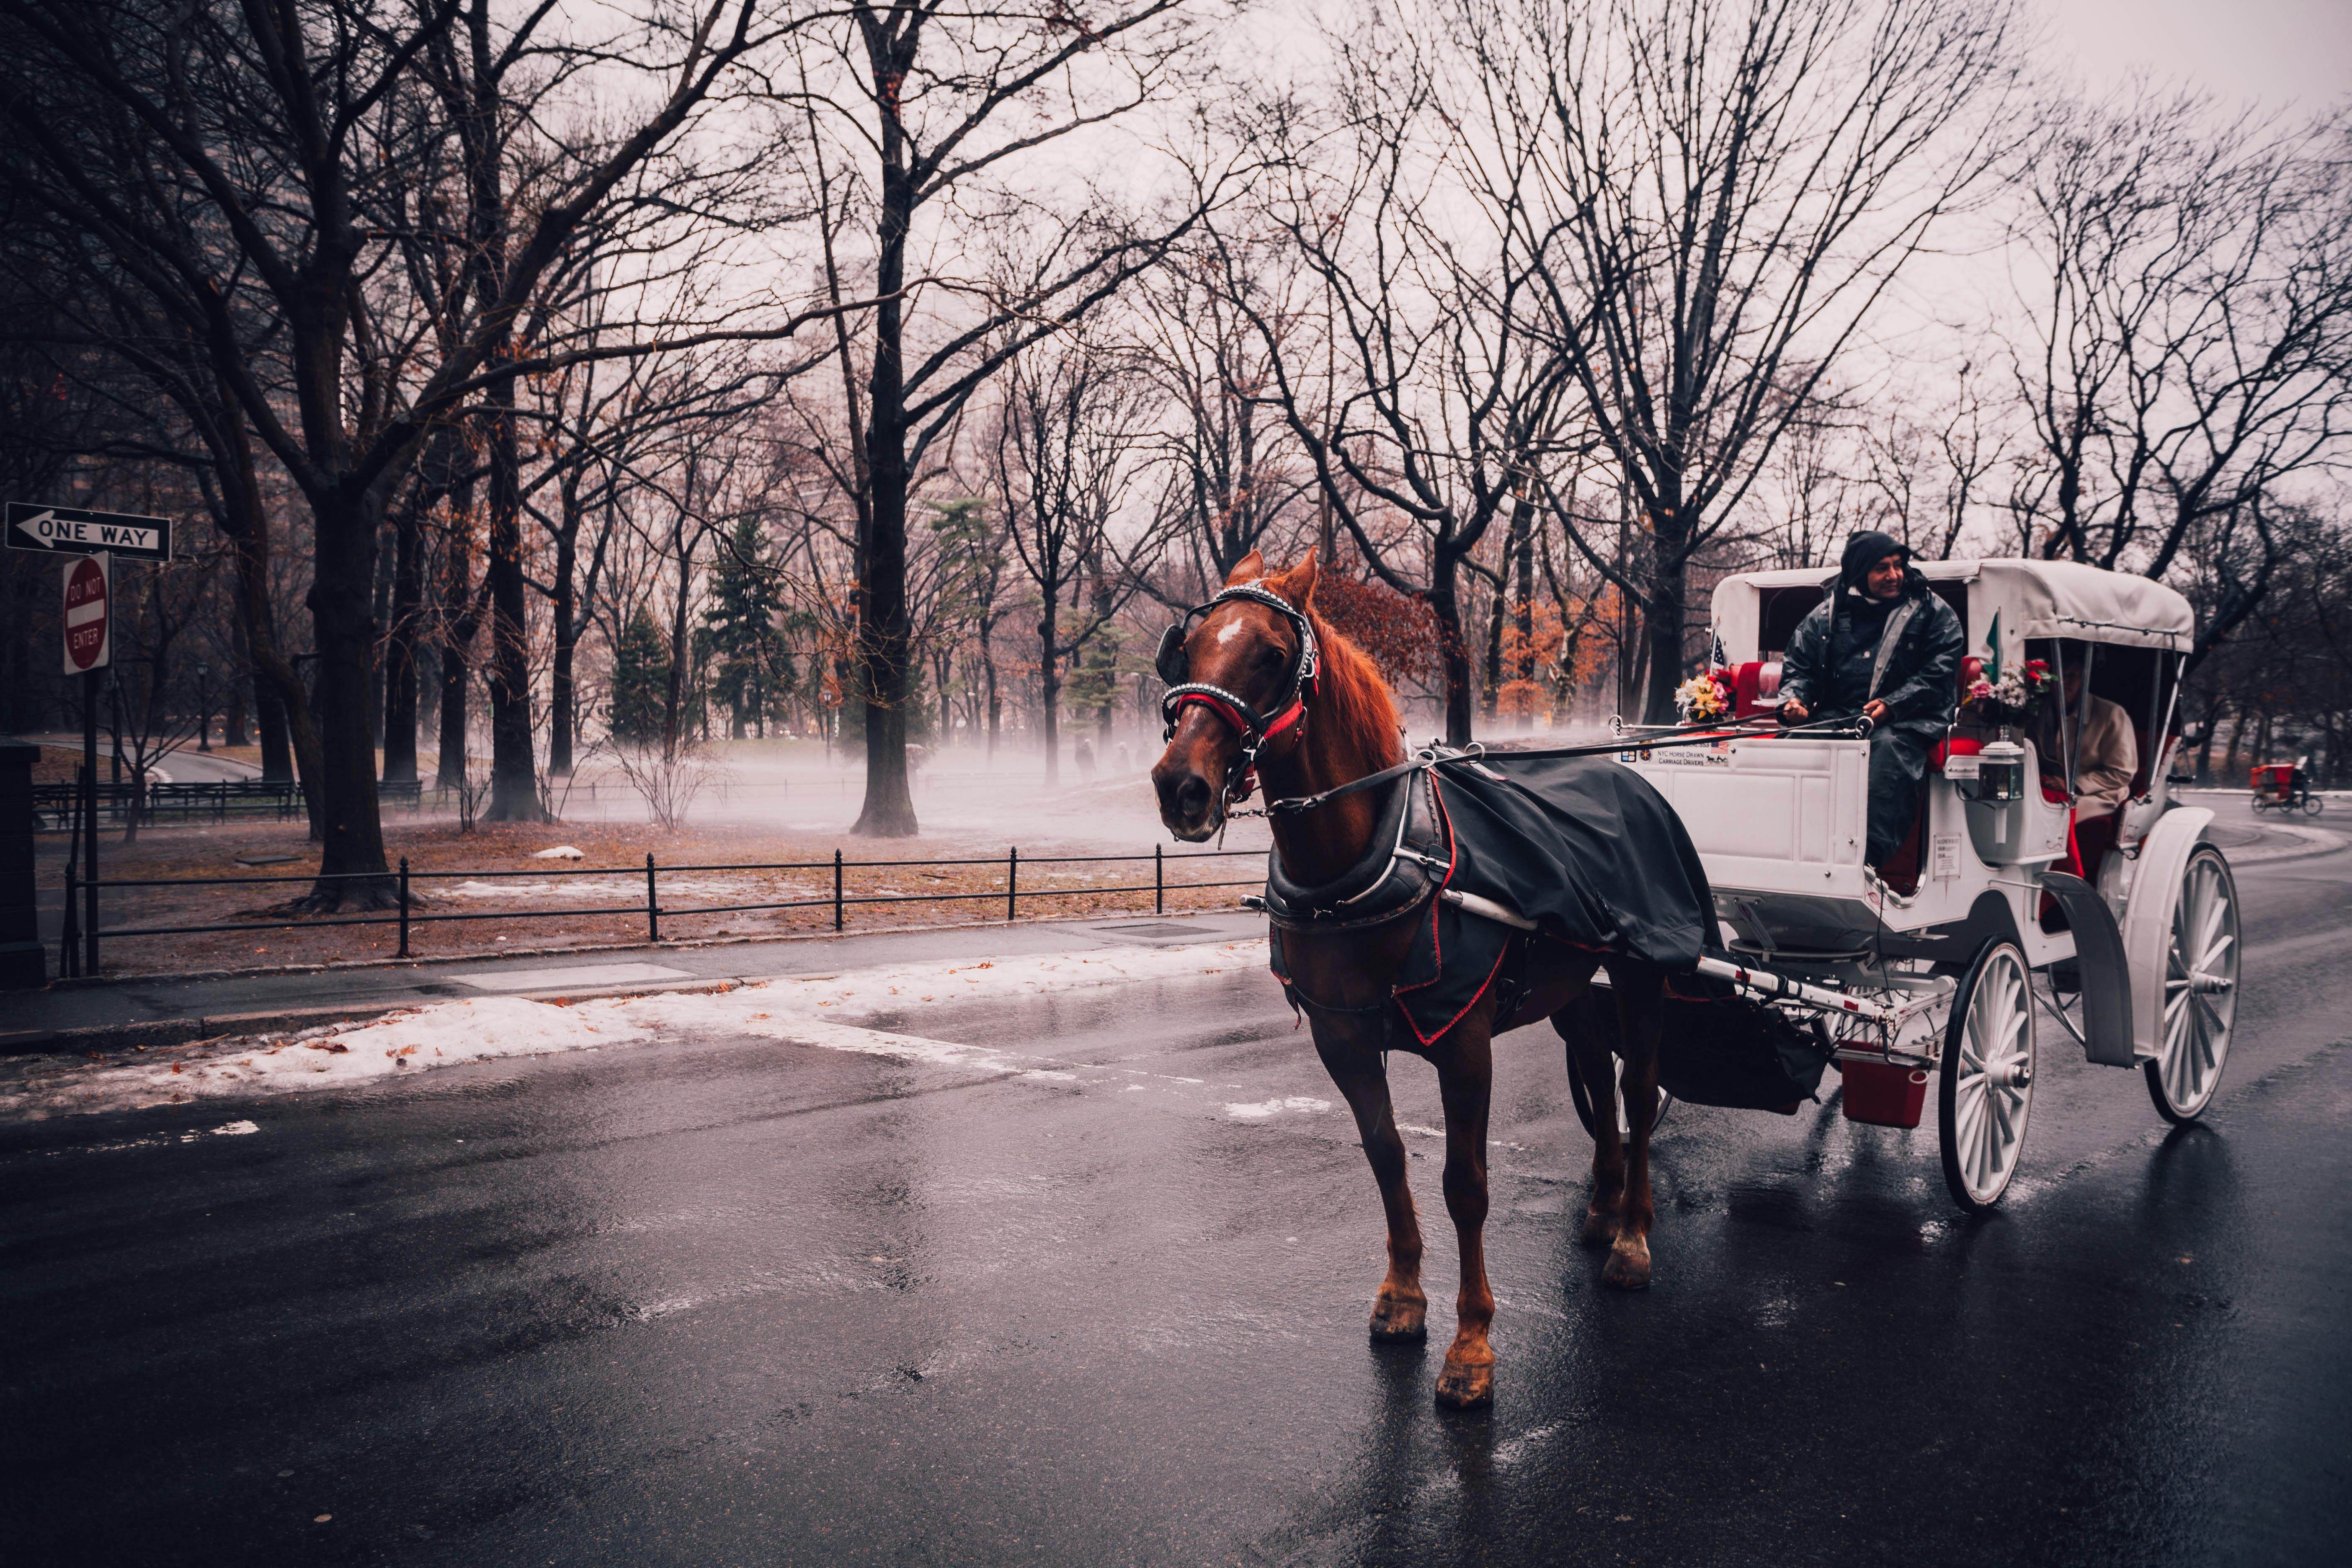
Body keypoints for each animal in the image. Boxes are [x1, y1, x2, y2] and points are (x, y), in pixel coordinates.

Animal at [1152, 550, 1674, 1410]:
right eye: (1187, 649)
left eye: (1271, 655)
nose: (1180, 785)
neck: (1369, 860)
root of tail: (1625, 776)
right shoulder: (1344, 1037)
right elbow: (1386, 1154)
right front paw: (1402, 1296)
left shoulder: (1463, 1041)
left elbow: (1466, 1183)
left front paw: (1472, 1344)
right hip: (1567, 981)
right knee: (1598, 1068)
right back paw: (1601, 1205)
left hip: (1642, 970)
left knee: (1635, 1086)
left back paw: (1631, 1234)